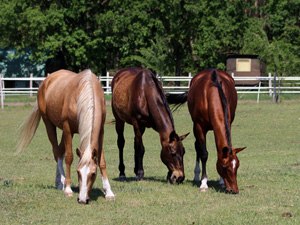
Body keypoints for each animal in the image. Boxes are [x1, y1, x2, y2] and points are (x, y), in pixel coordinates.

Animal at [16, 69, 115, 204]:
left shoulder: (100, 131)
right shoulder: (68, 128)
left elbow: (102, 161)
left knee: (59, 150)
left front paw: (108, 192)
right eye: (78, 172)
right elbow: (69, 157)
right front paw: (68, 189)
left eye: (93, 174)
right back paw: (61, 182)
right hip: (50, 125)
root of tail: (46, 81)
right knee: (57, 151)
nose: (82, 200)